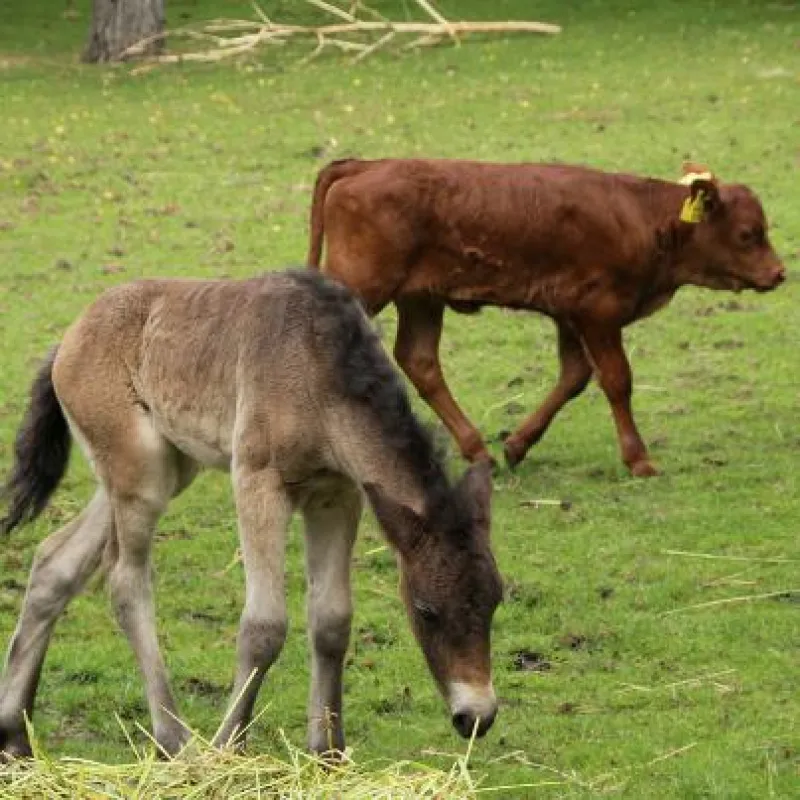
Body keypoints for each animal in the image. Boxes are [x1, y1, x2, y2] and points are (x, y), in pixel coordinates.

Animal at [0, 269, 502, 759]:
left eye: (495, 601)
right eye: (426, 609)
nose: (476, 716)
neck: (319, 367)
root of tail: (67, 341)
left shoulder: (337, 494)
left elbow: (332, 620)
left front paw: (328, 752)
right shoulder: (258, 482)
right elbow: (264, 626)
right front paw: (228, 747)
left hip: (162, 469)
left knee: (54, 562)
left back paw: (14, 734)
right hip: (142, 476)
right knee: (124, 582)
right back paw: (176, 740)